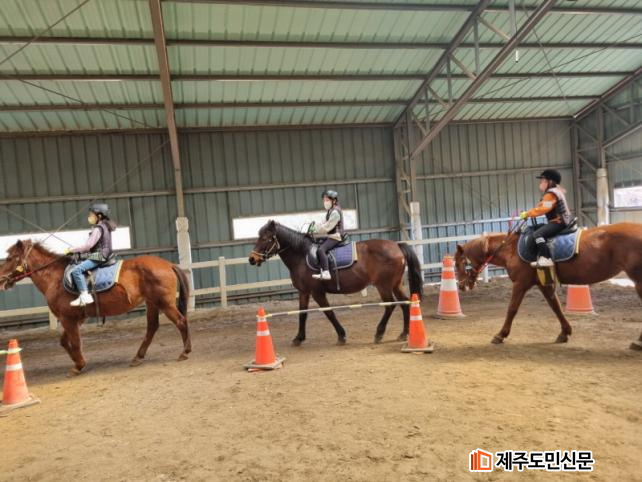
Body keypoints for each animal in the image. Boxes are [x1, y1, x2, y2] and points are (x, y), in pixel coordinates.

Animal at [0, 240, 191, 374]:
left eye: (9, 258)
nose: (1, 279)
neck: (55, 277)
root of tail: (168, 264)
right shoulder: (75, 318)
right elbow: (64, 341)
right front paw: (77, 361)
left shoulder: (68, 319)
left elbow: (75, 342)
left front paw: (79, 365)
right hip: (152, 303)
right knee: (152, 327)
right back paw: (138, 357)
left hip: (165, 304)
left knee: (181, 322)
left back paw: (185, 352)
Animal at [248, 220, 423, 345]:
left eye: (265, 238)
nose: (252, 259)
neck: (302, 256)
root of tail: (397, 246)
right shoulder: (303, 292)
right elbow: (302, 314)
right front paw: (298, 338)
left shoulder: (317, 292)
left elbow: (329, 312)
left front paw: (341, 336)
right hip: (395, 285)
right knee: (405, 303)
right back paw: (404, 333)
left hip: (384, 286)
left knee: (390, 305)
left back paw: (379, 333)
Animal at [454, 222, 642, 350]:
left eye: (456, 263)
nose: (461, 286)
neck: (511, 249)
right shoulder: (543, 284)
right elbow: (555, 306)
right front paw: (564, 332)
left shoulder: (520, 284)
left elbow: (512, 309)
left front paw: (500, 335)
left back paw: (638, 342)